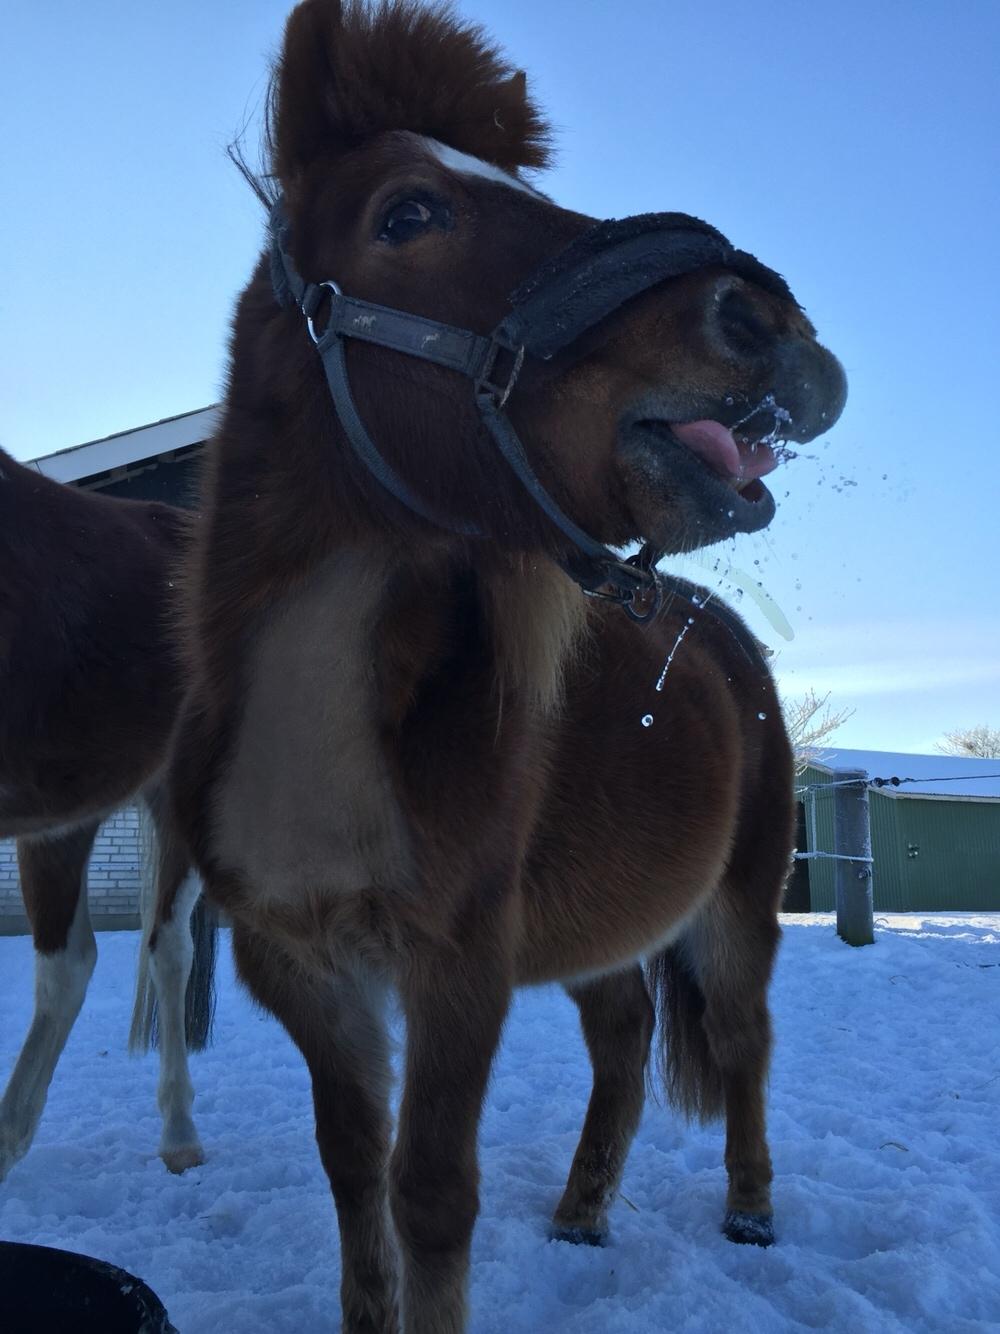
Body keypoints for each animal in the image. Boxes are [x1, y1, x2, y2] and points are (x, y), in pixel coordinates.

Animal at [154, 5, 848, 1328]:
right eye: (407, 214)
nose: (768, 323)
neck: (321, 738)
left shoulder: (457, 966)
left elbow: (429, 1194)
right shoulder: (303, 969)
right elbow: (354, 1173)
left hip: (736, 907)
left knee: (743, 1039)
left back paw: (749, 1206)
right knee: (623, 1036)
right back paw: (581, 1212)